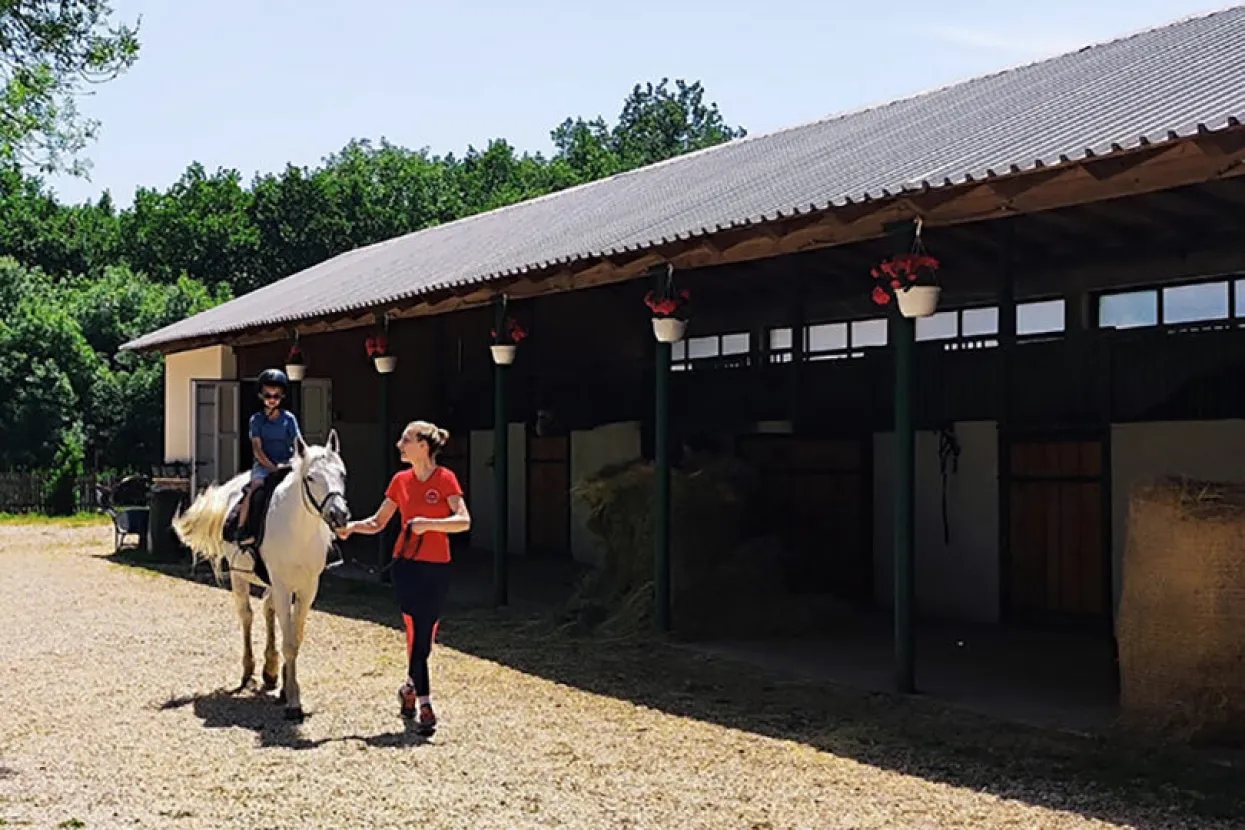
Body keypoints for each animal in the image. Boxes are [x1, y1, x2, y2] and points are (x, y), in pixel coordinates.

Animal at [173, 428, 348, 721]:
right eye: (311, 477)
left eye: (342, 474)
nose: (339, 515)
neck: (298, 531)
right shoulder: (282, 585)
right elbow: (289, 641)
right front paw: (293, 702)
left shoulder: (307, 588)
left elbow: (295, 637)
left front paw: (286, 688)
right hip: (239, 578)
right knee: (247, 616)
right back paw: (249, 670)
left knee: (268, 611)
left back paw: (270, 671)